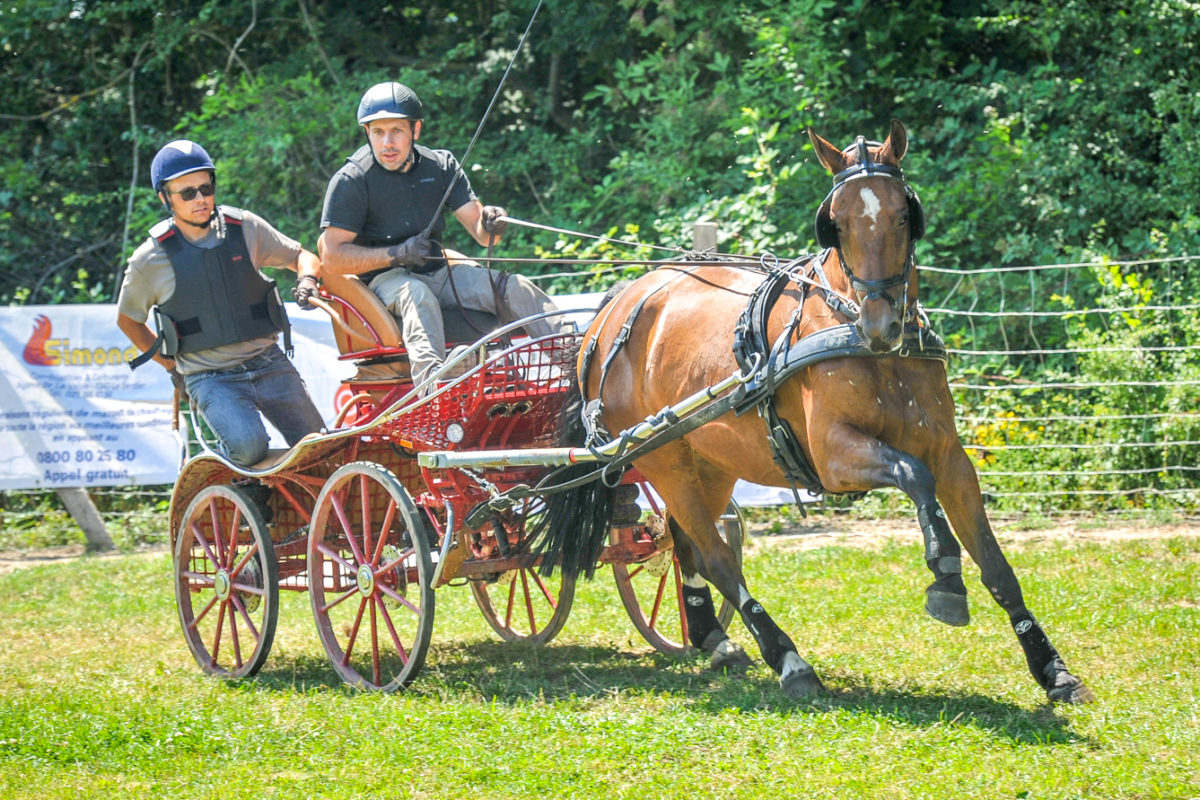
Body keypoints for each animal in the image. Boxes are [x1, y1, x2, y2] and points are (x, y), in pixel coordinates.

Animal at [549, 118, 1094, 700]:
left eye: (905, 214)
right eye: (836, 223)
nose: (880, 324)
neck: (864, 341)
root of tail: (613, 311)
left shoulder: (950, 456)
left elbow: (995, 563)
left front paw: (1052, 668)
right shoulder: (834, 457)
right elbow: (913, 474)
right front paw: (944, 571)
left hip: (708, 462)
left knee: (685, 543)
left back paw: (714, 639)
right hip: (664, 459)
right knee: (718, 558)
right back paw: (788, 659)